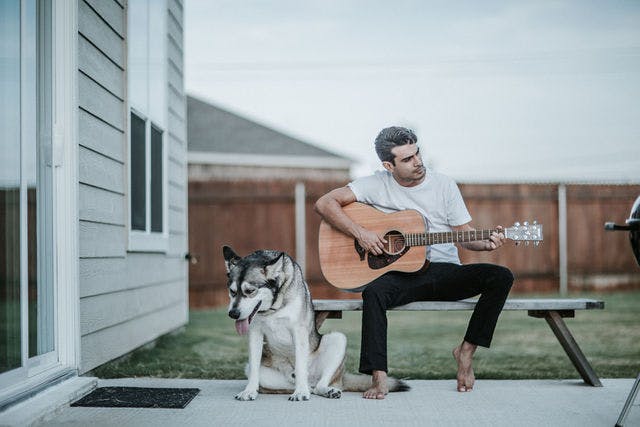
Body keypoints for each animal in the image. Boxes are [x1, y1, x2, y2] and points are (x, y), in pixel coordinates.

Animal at [222, 246, 408, 402]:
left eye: (250, 291)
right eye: (232, 291)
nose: (233, 314)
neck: (273, 308)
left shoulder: (298, 331)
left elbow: (301, 365)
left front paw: (300, 393)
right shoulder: (255, 334)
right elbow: (254, 369)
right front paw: (249, 391)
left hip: (338, 340)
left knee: (318, 384)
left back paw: (321, 390)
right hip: (263, 374)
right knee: (302, 386)